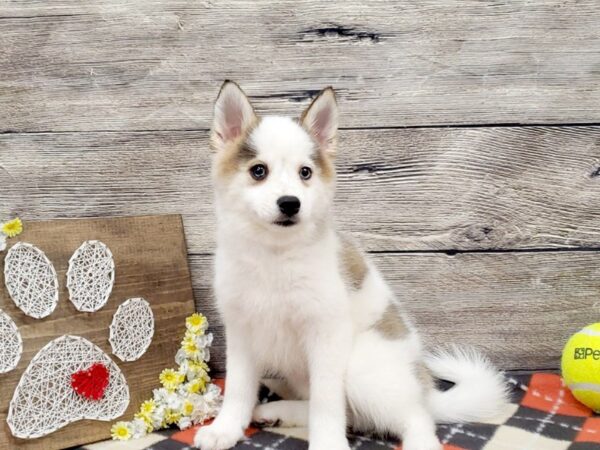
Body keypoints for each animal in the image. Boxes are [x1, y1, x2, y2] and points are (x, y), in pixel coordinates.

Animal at [195, 81, 508, 450]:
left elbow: (327, 404)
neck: (275, 256)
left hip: (361, 367)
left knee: (413, 418)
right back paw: (277, 409)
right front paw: (226, 428)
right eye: (259, 171)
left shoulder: (327, 335)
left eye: (305, 172)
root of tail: (424, 389)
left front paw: (328, 444)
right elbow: (239, 388)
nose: (290, 203)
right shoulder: (241, 331)